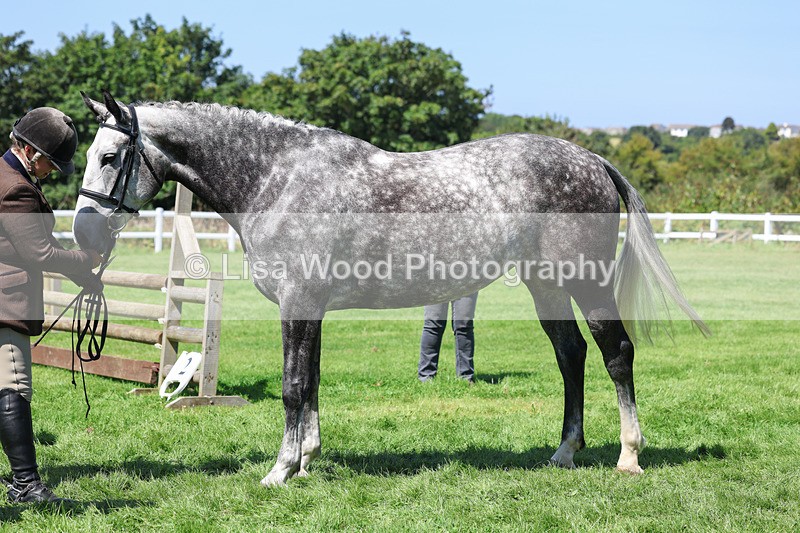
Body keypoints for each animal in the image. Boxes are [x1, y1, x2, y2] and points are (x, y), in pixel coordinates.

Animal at [73, 90, 709, 486]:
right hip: (545, 286)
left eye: (110, 156)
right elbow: (312, 383)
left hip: (585, 281)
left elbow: (292, 387)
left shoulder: (297, 304)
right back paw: (564, 452)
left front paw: (279, 471)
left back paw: (629, 456)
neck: (277, 178)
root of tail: (593, 158)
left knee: (615, 352)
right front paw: (307, 459)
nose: (83, 231)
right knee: (571, 355)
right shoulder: (311, 308)